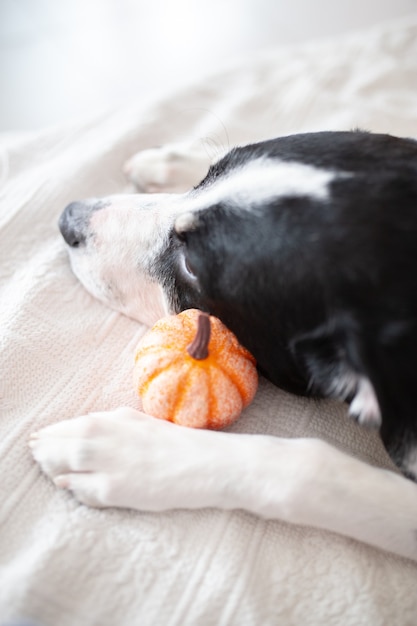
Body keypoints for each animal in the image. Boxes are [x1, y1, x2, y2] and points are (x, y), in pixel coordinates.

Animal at [30, 132, 416, 560]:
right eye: (209, 175)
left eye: (191, 268)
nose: (68, 219)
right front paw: (172, 161)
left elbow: (312, 471)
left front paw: (128, 453)